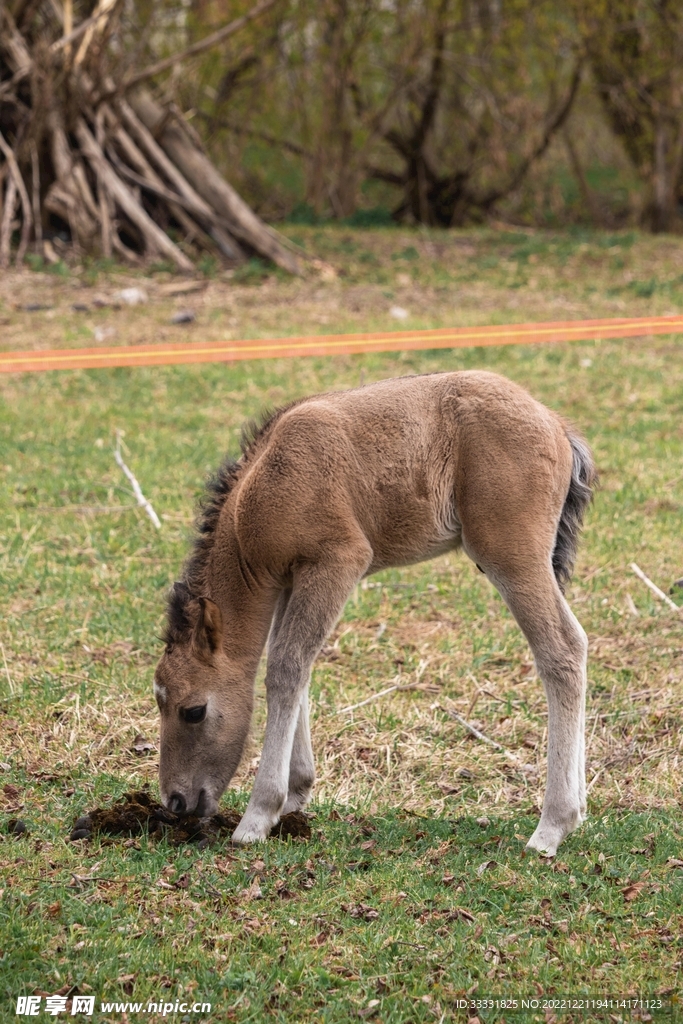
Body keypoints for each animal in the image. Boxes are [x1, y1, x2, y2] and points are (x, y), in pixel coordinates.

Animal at [153, 370, 593, 856]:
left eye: (194, 710)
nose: (176, 801)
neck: (259, 488)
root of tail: (555, 424)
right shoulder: (291, 580)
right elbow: (293, 667)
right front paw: (297, 792)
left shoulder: (337, 561)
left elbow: (287, 668)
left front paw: (258, 815)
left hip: (510, 556)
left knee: (562, 649)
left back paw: (552, 826)